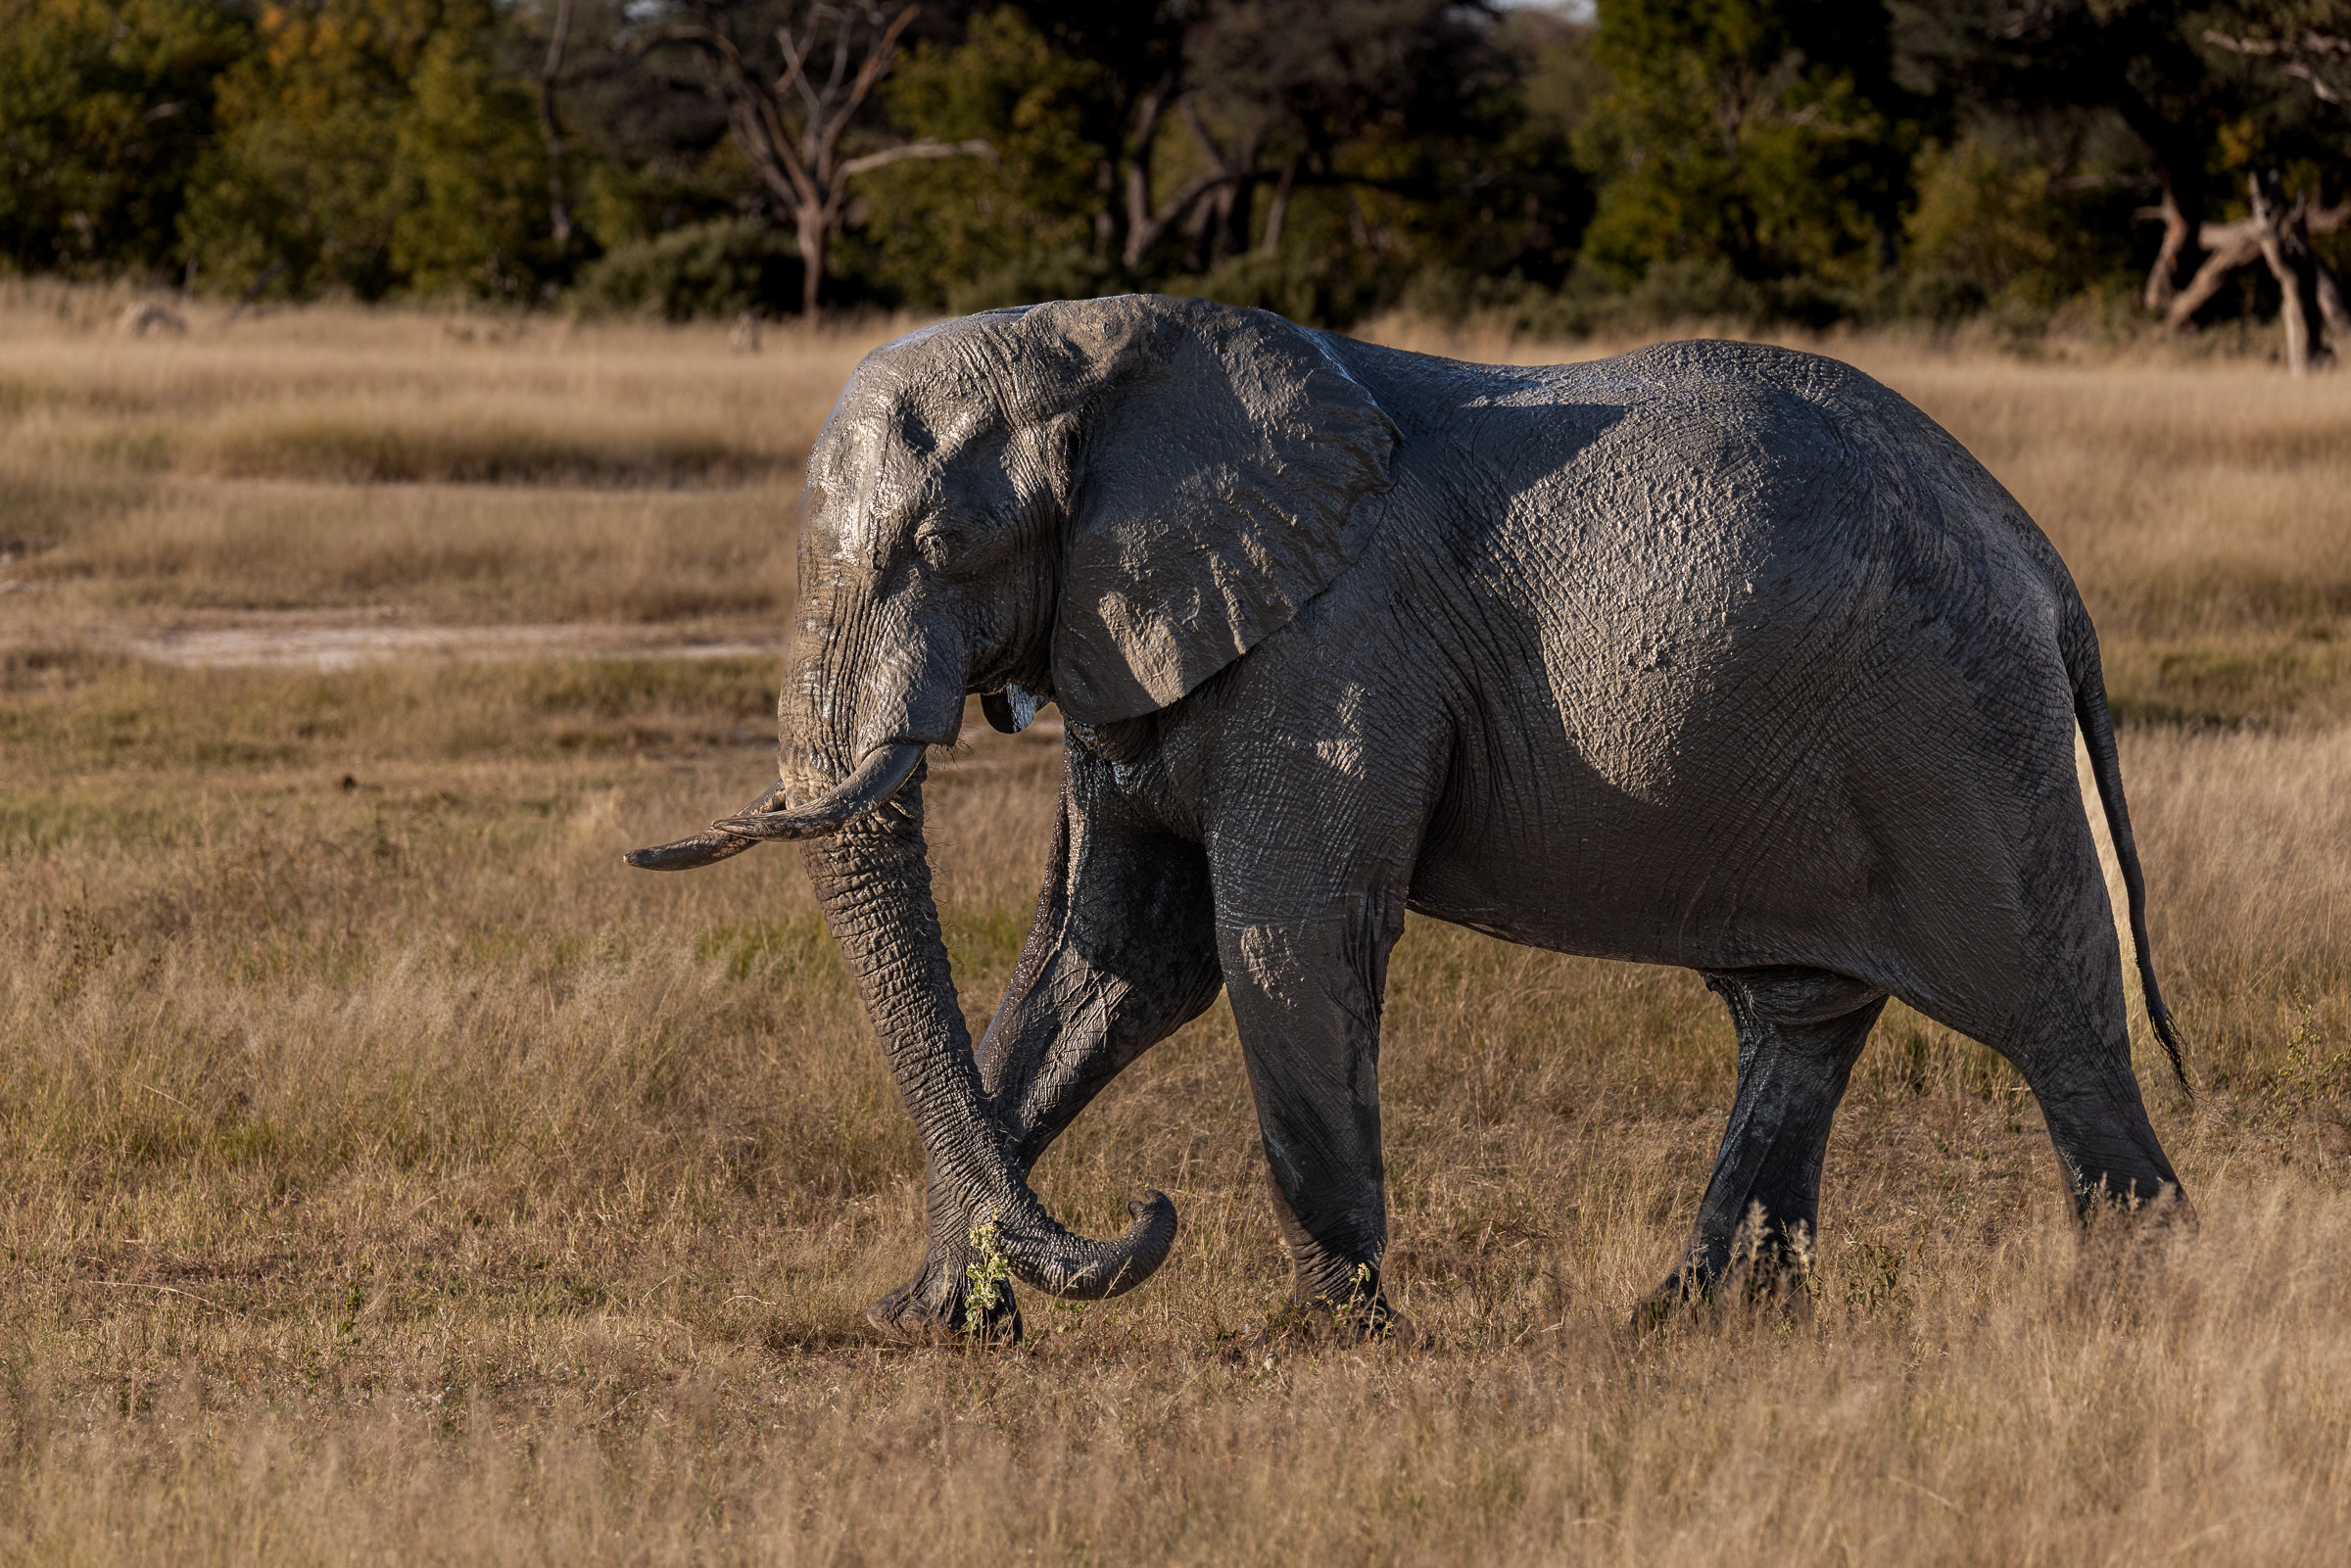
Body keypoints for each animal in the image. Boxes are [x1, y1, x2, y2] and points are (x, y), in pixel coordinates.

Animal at [628, 294, 2188, 1340]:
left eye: (946, 545)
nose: (1148, 1213)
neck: (1094, 340)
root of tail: (2042, 563)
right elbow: (1116, 962)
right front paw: (935, 1312)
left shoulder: (1339, 644)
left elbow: (1279, 935)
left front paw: (1325, 1336)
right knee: (1801, 1015)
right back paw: (1693, 1319)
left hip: (1960, 736)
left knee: (2053, 1019)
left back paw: (2136, 1290)